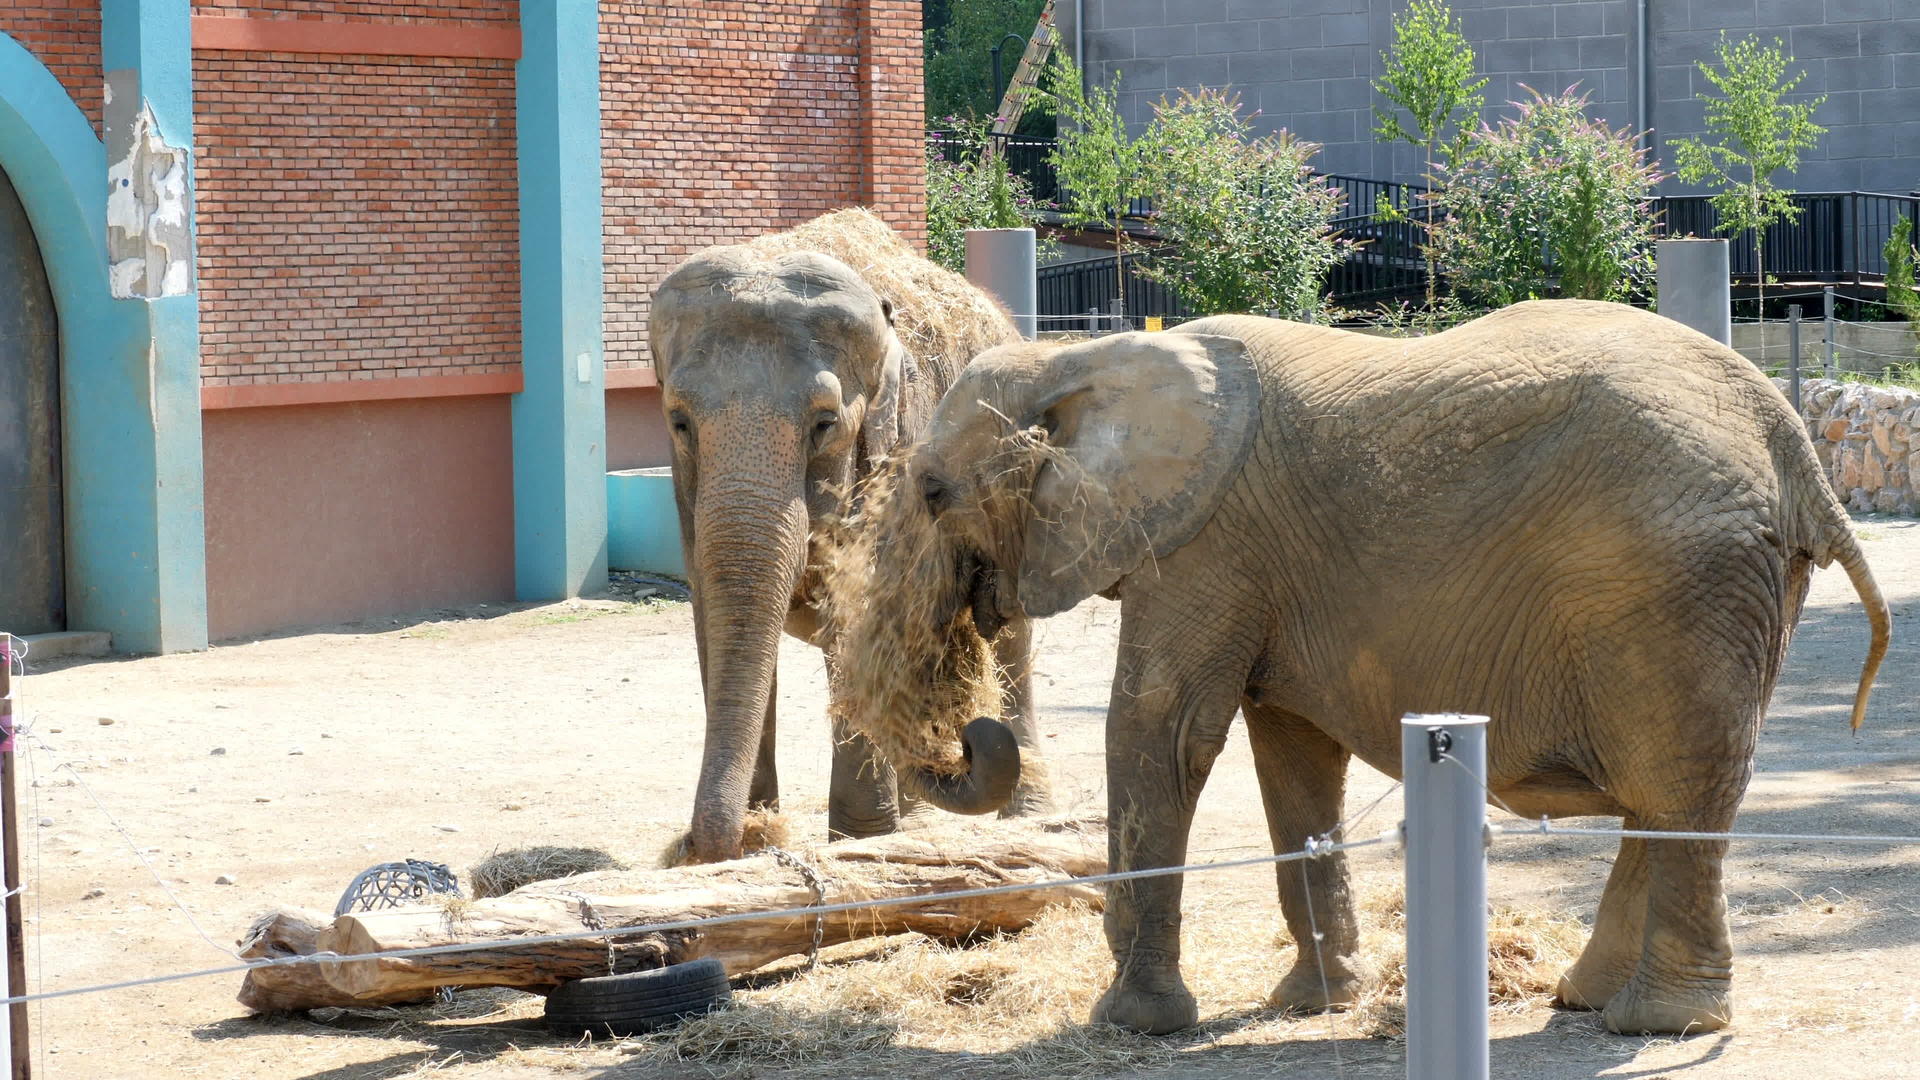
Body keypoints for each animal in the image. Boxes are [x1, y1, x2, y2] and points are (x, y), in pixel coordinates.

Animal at [652, 222, 1059, 860]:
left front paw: (857, 841)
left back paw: (1023, 812)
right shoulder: (684, 493)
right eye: (680, 421)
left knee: (1010, 635)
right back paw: (919, 814)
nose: (698, 845)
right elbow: (715, 616)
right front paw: (757, 838)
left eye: (825, 424)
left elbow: (859, 618)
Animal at [837, 299, 1889, 1037]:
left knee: (1676, 782)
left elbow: (1163, 734)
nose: (977, 729)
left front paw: (1131, 1023)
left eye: (930, 492)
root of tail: (1795, 446)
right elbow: (1292, 757)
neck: (1081, 359)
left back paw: (1657, 1024)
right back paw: (1584, 1001)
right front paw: (1311, 1004)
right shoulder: (1256, 568)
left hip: (1671, 583)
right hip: (1716, 590)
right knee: (1672, 792)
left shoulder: (1206, 546)